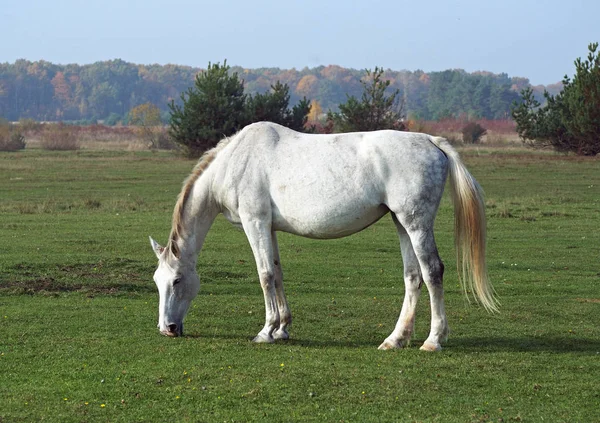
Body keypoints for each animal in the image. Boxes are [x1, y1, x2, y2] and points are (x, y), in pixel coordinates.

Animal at [150, 121, 496, 352]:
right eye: (156, 281)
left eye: (177, 281)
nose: (167, 329)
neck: (236, 161)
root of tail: (430, 141)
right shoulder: (269, 229)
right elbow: (277, 273)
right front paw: (282, 328)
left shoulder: (255, 223)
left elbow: (264, 275)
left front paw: (266, 331)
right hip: (401, 223)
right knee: (413, 276)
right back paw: (395, 339)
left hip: (416, 224)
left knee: (432, 272)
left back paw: (433, 340)